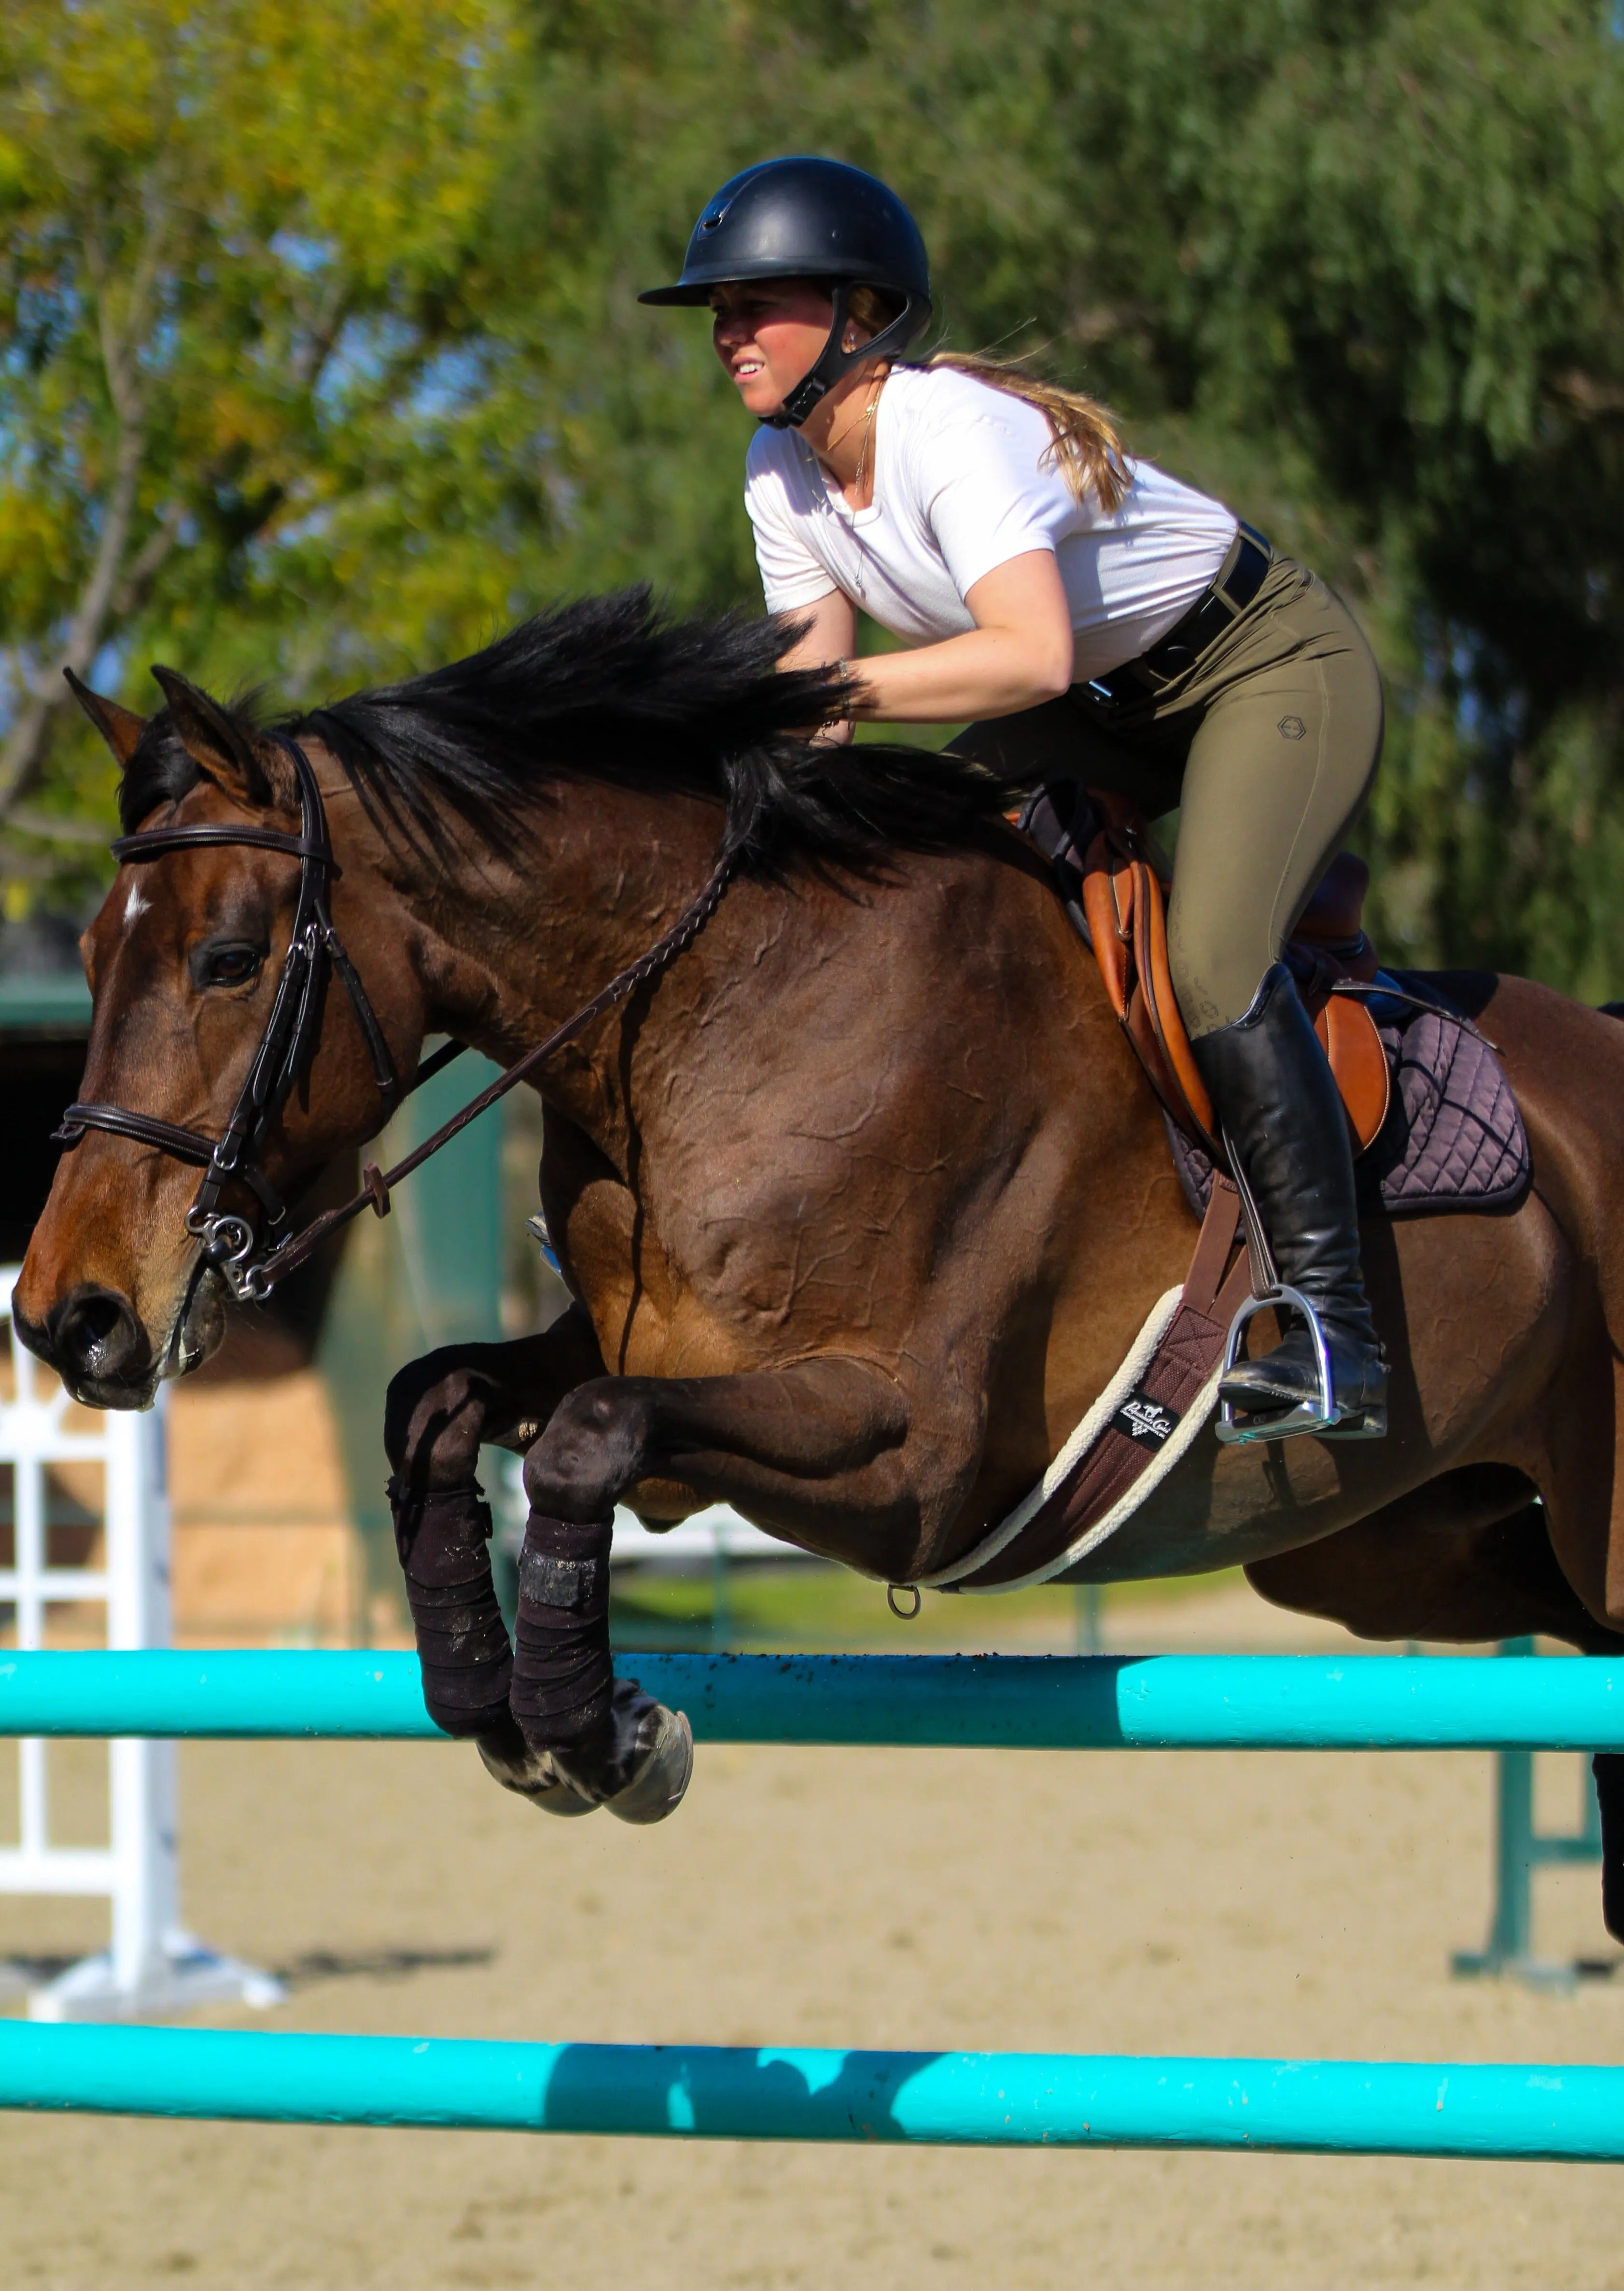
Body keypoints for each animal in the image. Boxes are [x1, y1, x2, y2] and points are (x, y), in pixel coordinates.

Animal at [19, 595, 1622, 1878]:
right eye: (89, 952)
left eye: (228, 961)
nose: (65, 1316)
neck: (723, 1013)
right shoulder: (629, 1342)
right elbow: (440, 1401)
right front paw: (494, 1698)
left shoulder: (915, 1460)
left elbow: (587, 1439)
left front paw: (604, 1736)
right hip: (1397, 1551)